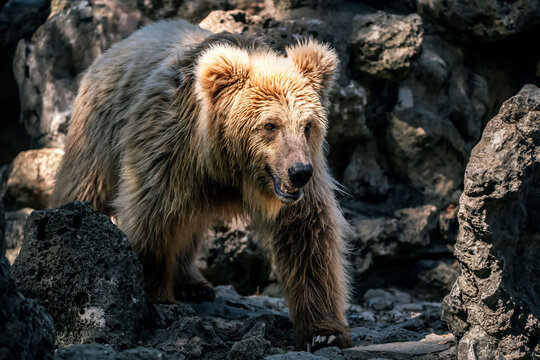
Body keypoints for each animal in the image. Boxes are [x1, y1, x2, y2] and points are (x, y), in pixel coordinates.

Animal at [50, 18, 352, 350]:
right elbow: (152, 214)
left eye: (307, 125)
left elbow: (308, 235)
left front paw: (323, 333)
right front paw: (152, 294)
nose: (299, 172)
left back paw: (194, 283)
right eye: (270, 125)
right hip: (100, 126)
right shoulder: (169, 146)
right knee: (86, 186)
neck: (229, 165)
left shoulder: (305, 177)